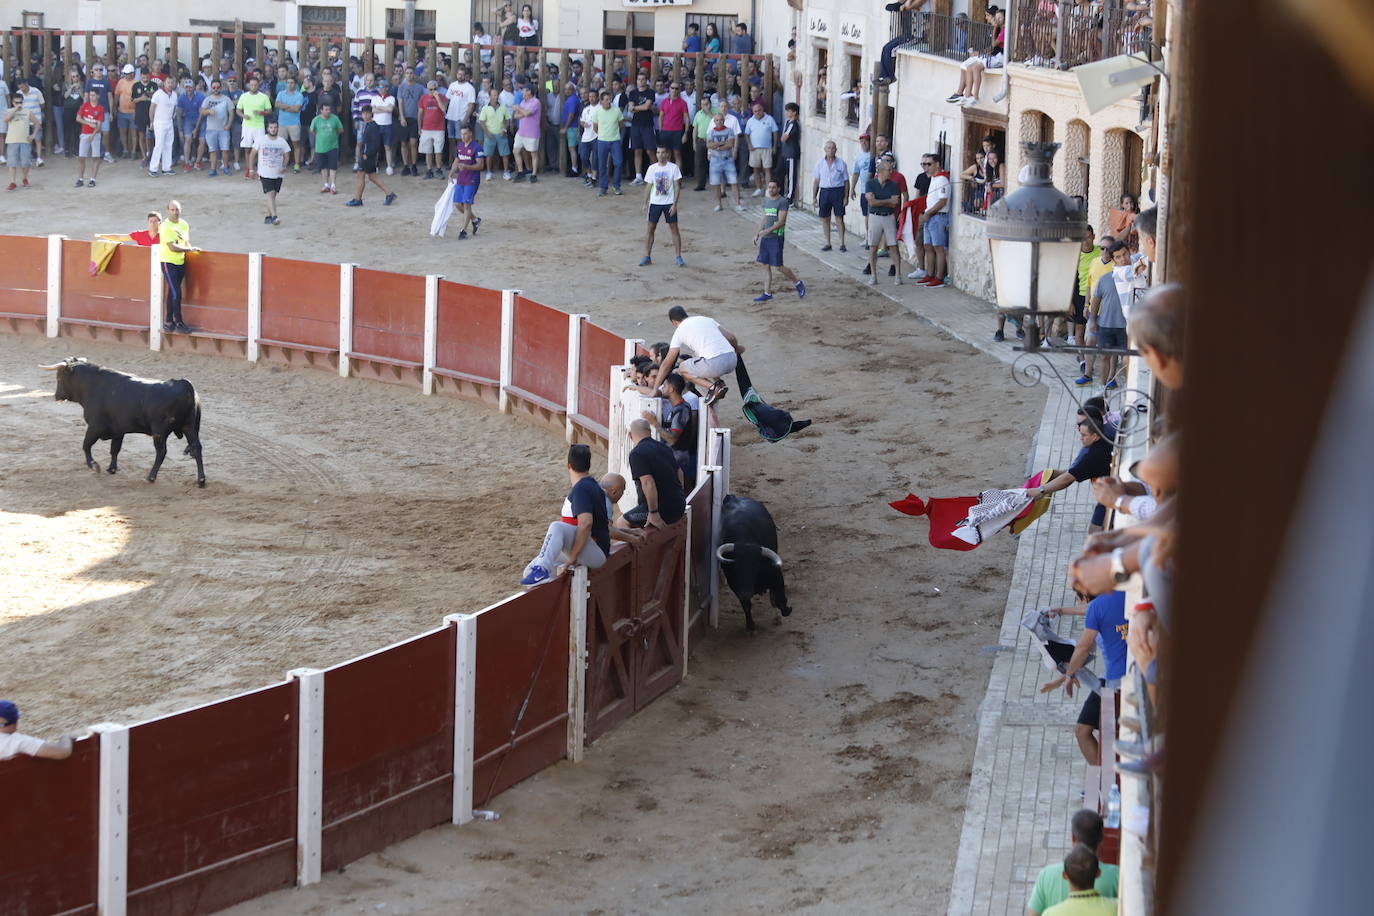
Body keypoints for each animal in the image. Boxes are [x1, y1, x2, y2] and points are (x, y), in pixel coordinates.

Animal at [40, 357, 206, 486]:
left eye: (59, 378)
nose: (56, 396)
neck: (92, 386)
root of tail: (185, 385)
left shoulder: (95, 426)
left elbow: (86, 445)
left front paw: (94, 466)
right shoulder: (118, 430)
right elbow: (115, 449)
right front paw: (111, 468)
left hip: (159, 432)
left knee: (161, 452)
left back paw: (151, 477)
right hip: (189, 427)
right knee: (196, 448)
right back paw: (201, 480)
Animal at [714, 494, 791, 631]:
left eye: (755, 568)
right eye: (736, 569)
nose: (745, 593)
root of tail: (733, 497)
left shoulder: (775, 574)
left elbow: (779, 598)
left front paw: (785, 610)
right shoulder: (735, 585)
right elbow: (746, 606)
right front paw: (750, 626)